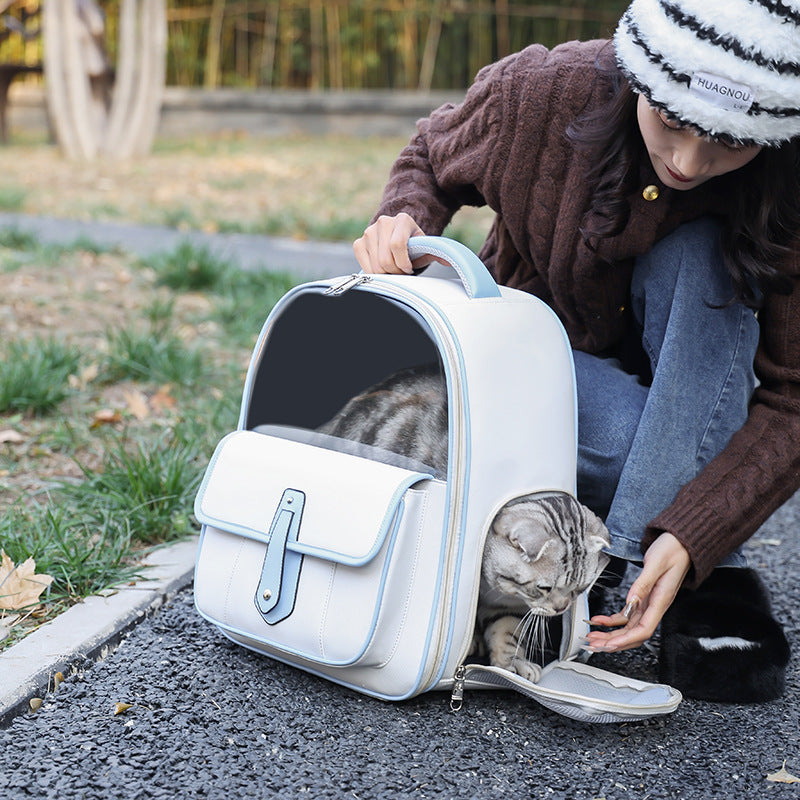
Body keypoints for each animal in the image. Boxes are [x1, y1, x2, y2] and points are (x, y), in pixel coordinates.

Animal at [316, 362, 608, 680]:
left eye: (579, 589)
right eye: (545, 588)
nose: (561, 608)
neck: (492, 586)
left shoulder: (509, 605)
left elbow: (507, 633)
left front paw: (510, 664)